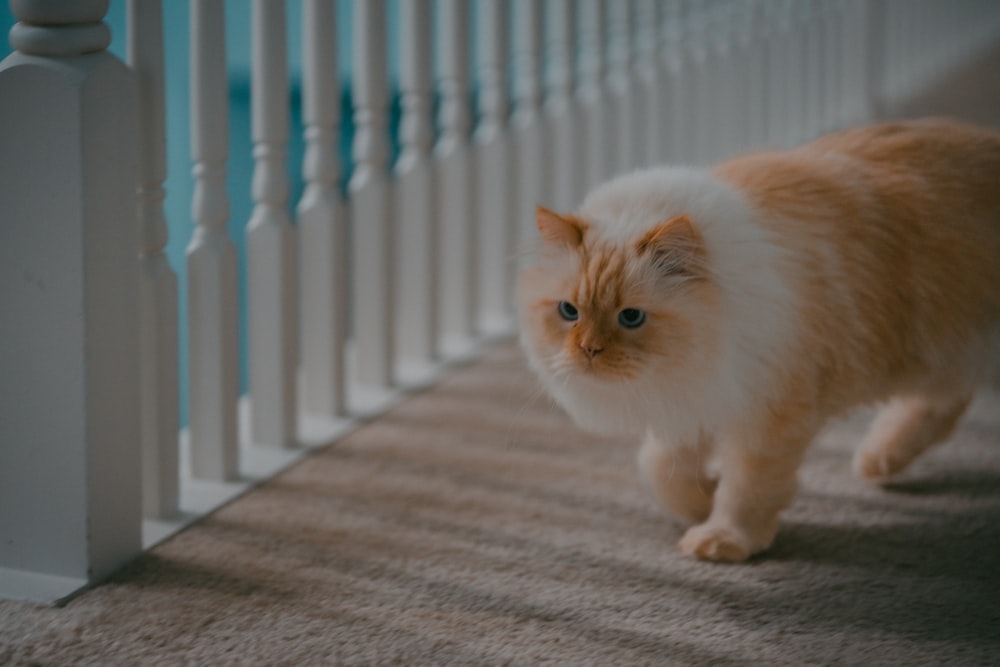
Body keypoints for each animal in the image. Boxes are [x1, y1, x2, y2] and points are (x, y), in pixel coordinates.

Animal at [520, 120, 1000, 564]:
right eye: (569, 312)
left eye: (630, 317)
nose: (588, 349)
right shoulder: (698, 403)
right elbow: (660, 471)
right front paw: (702, 502)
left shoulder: (767, 416)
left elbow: (746, 491)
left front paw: (723, 539)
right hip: (946, 358)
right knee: (944, 405)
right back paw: (879, 459)